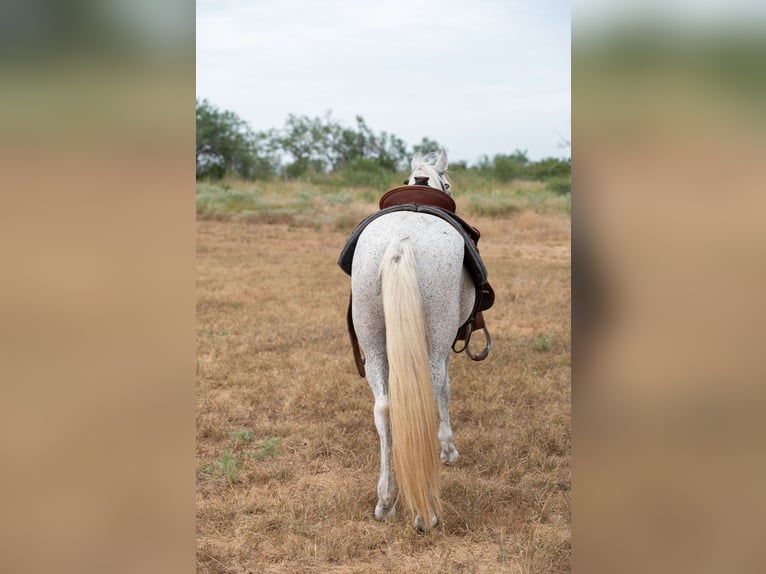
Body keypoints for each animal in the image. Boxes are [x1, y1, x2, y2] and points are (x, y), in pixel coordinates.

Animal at [350, 150, 476, 530]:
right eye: (447, 183)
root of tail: (401, 239)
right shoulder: (445, 347)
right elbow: (446, 389)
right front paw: (448, 449)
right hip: (434, 340)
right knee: (429, 394)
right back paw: (426, 510)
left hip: (372, 339)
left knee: (384, 408)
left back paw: (386, 499)